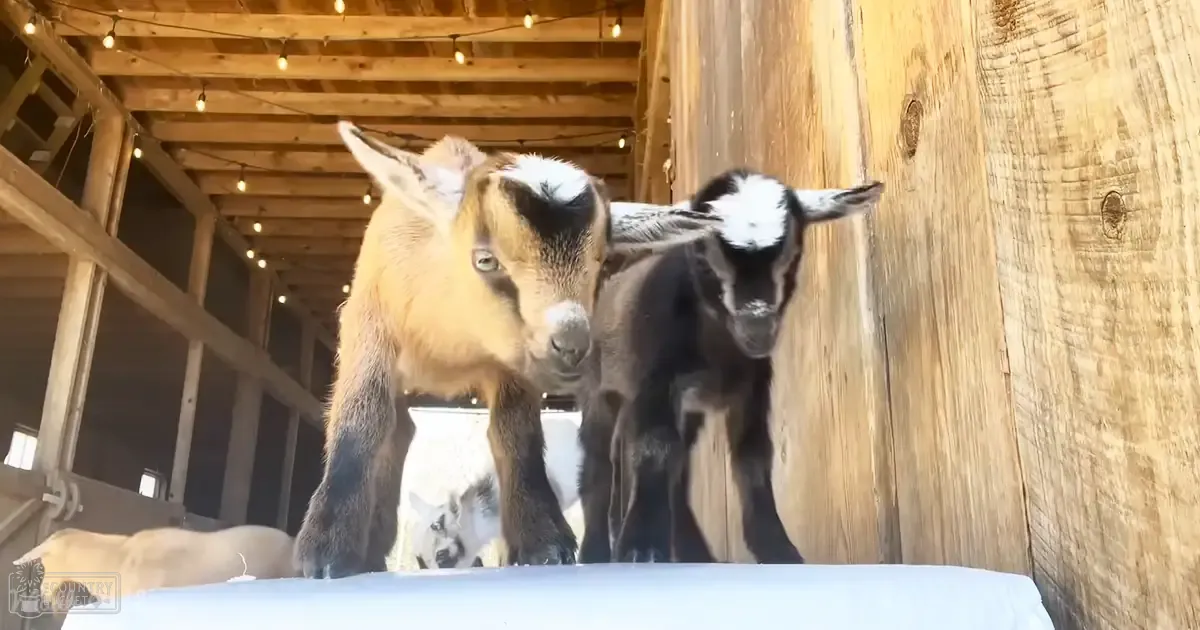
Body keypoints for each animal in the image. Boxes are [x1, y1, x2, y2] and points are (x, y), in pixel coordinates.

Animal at [294, 122, 722, 578]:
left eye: (603, 263)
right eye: (485, 260)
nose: (572, 345)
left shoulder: (513, 362)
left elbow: (516, 431)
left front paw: (542, 541)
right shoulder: (368, 326)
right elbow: (362, 417)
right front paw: (326, 549)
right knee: (396, 428)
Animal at [575, 168, 883, 564]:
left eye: (793, 254)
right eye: (704, 260)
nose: (757, 325)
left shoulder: (750, 390)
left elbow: (752, 460)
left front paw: (778, 549)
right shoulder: (654, 381)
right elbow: (655, 449)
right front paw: (641, 546)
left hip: (681, 409)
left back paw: (693, 551)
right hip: (600, 392)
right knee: (598, 463)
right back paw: (597, 551)